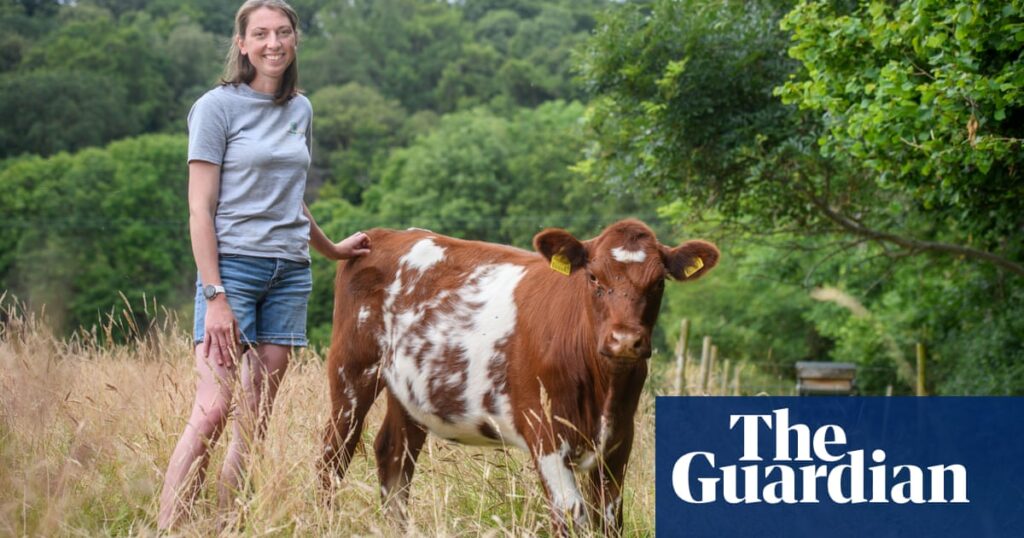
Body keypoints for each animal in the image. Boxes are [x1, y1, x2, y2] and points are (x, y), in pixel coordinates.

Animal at [319, 217, 720, 532]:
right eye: (593, 276)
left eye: (658, 283)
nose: (624, 340)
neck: (603, 389)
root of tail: (386, 234)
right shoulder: (545, 433)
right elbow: (571, 516)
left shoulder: (619, 441)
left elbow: (609, 521)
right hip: (351, 371)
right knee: (334, 453)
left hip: (410, 392)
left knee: (394, 457)